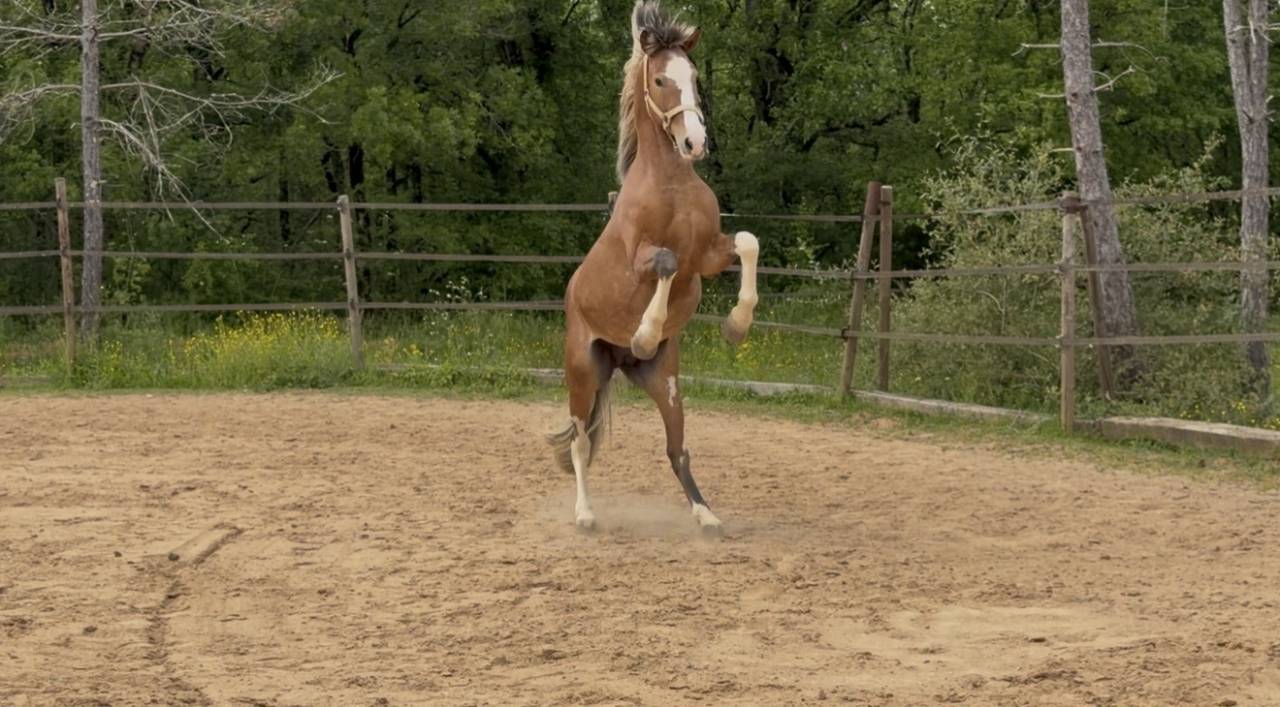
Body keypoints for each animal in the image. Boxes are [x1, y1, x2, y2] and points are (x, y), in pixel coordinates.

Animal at [547, 0, 760, 534]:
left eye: (694, 75)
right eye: (662, 79)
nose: (695, 143)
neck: (671, 185)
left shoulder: (708, 254)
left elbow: (747, 243)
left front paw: (736, 325)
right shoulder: (644, 259)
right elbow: (665, 262)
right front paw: (645, 331)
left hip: (666, 383)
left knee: (676, 449)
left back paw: (706, 516)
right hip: (582, 371)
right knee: (580, 442)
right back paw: (585, 515)